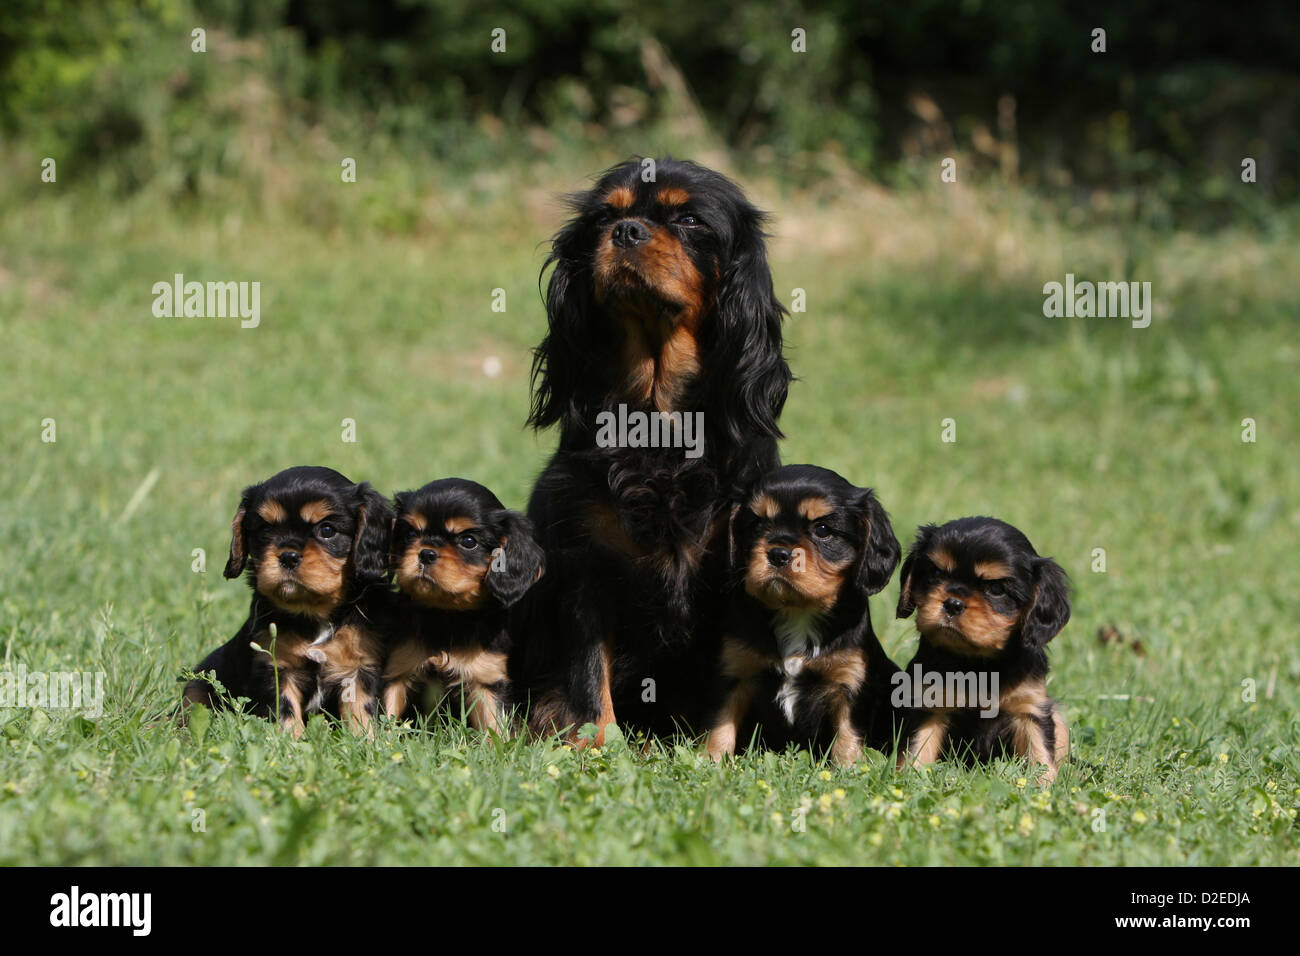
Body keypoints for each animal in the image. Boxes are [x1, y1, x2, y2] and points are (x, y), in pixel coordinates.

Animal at [180, 468, 390, 738]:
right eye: (266, 530)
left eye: (327, 530)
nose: (288, 556)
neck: (313, 611)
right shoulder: (276, 666)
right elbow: (285, 710)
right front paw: (290, 743)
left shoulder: (357, 669)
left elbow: (360, 710)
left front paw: (367, 741)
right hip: (197, 686)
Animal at [377, 478, 543, 733]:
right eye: (411, 533)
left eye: (468, 541)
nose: (426, 553)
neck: (448, 615)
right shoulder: (398, 670)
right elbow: (387, 715)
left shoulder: (487, 680)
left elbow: (494, 727)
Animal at [520, 157, 790, 743]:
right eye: (605, 218)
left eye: (689, 220)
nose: (627, 231)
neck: (658, 419)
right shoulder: (586, 569)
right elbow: (588, 669)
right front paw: (598, 742)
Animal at [702, 468, 904, 764]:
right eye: (757, 525)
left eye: (822, 530)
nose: (778, 553)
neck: (796, 611)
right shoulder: (735, 671)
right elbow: (720, 726)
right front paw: (710, 762)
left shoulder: (849, 682)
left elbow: (847, 736)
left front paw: (850, 768)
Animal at [899, 520, 1071, 780]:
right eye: (936, 573)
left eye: (997, 588)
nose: (953, 603)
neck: (979, 661)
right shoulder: (929, 704)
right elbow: (918, 747)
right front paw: (911, 778)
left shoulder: (1030, 707)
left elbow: (1040, 752)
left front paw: (1043, 785)